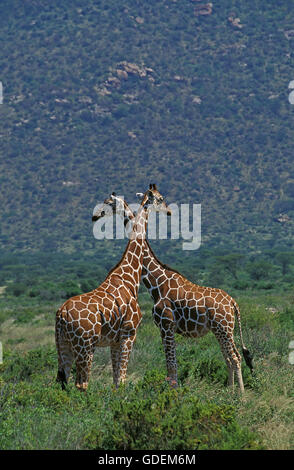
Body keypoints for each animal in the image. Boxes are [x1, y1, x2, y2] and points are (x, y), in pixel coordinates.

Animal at [55, 185, 171, 392]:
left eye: (107, 202)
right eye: (160, 198)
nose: (169, 211)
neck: (129, 276)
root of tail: (62, 314)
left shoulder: (114, 341)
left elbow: (116, 381)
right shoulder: (129, 333)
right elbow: (122, 380)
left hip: (63, 345)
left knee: (62, 382)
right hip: (85, 345)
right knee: (82, 383)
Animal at [93, 191, 253, 392]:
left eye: (108, 202)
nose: (95, 215)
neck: (156, 282)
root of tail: (233, 302)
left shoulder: (166, 325)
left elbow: (171, 364)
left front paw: (173, 393)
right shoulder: (166, 328)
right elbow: (171, 364)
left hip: (224, 328)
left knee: (235, 357)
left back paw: (239, 394)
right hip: (221, 329)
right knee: (229, 358)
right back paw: (229, 391)